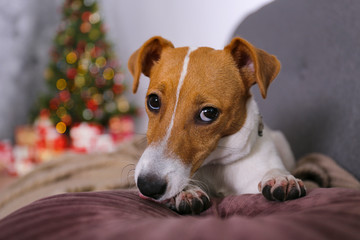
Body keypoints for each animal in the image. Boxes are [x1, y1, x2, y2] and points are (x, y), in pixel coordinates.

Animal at [128, 36, 306, 215]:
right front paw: (187, 190)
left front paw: (280, 177)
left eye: (208, 113)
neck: (218, 165)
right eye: (153, 101)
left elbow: (274, 170)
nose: (147, 186)